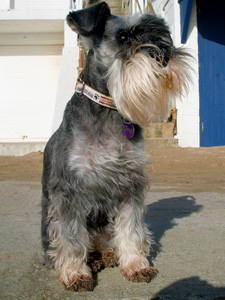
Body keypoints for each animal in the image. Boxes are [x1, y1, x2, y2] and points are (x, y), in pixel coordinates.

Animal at [41, 1, 191, 292]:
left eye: (159, 34)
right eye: (123, 37)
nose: (165, 55)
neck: (107, 109)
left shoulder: (129, 184)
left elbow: (131, 230)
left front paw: (136, 265)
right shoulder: (68, 191)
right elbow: (70, 238)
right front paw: (76, 274)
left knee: (103, 239)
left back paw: (107, 255)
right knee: (78, 242)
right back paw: (92, 260)